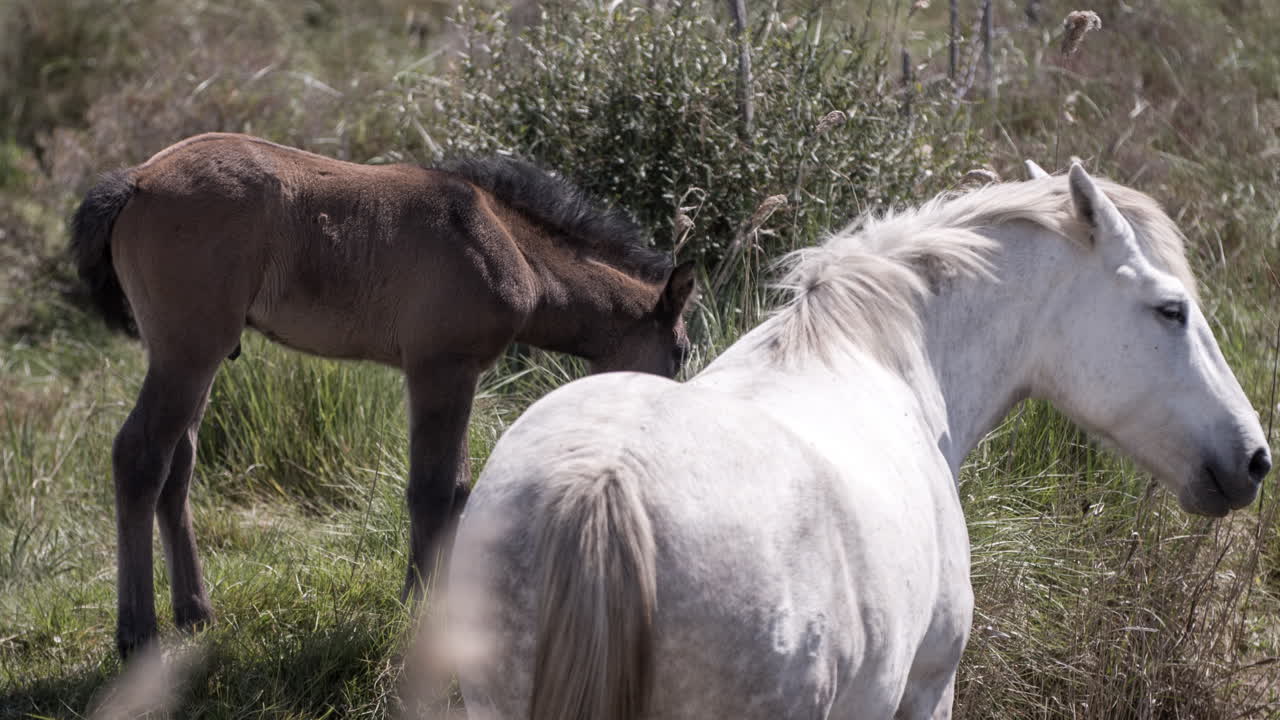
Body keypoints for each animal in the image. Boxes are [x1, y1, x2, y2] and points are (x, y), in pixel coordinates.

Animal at [70, 133, 697, 658]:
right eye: (682, 350)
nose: (673, 424)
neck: (505, 243)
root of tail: (137, 179)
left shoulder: (455, 374)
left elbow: (458, 488)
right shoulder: (440, 368)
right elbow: (433, 491)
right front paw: (416, 609)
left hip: (195, 360)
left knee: (178, 466)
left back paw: (196, 614)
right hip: (189, 352)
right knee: (139, 457)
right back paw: (137, 634)